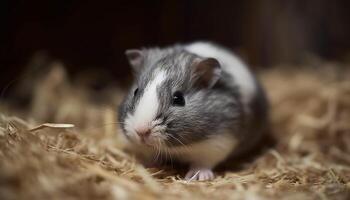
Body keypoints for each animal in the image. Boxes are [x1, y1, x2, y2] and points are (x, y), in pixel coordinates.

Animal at [117, 41, 268, 180]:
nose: (141, 131)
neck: (179, 148)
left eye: (179, 99)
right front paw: (149, 165)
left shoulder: (219, 142)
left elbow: (202, 163)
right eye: (136, 91)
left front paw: (197, 177)